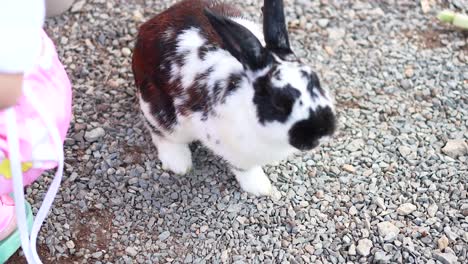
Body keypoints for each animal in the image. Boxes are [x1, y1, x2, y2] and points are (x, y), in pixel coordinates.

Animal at [132, 0, 336, 195]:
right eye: (278, 103)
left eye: (315, 80)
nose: (323, 130)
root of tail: (146, 29)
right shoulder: (234, 150)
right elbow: (246, 170)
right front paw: (261, 188)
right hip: (159, 111)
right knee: (161, 134)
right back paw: (179, 164)